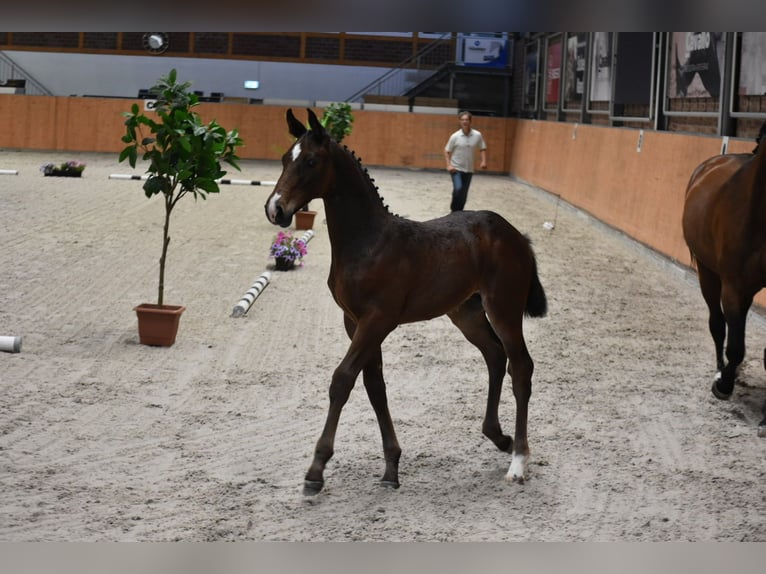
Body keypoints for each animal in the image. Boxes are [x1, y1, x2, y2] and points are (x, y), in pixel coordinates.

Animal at [264, 108, 548, 494]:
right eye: (283, 158)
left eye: (310, 160)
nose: (275, 209)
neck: (368, 241)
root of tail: (515, 235)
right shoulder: (354, 321)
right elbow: (374, 385)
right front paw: (391, 467)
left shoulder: (378, 320)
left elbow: (342, 380)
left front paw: (316, 470)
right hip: (466, 312)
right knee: (495, 355)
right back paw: (498, 437)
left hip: (504, 307)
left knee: (520, 367)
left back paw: (518, 461)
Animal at [682, 138, 766, 437]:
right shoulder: (732, 286)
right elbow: (735, 347)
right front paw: (723, 385)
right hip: (708, 273)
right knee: (718, 325)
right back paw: (721, 371)